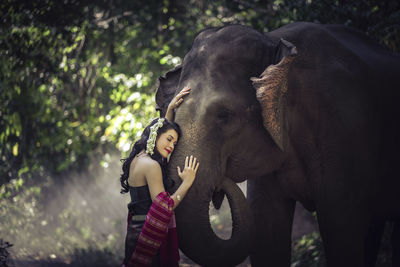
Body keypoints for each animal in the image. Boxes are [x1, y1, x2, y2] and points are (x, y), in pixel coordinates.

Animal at [155, 22, 400, 266]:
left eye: (224, 115)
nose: (219, 181)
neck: (277, 44)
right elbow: (267, 232)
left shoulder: (345, 126)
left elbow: (342, 229)